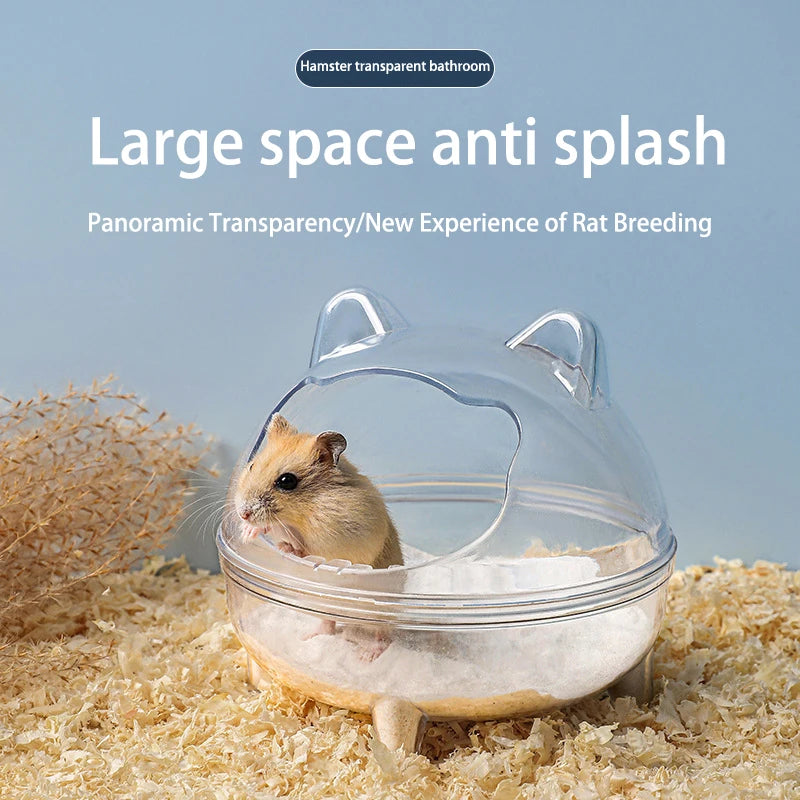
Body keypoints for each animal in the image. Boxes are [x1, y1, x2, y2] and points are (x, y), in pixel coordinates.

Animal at [234, 413, 404, 570]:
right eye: (252, 466)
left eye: (287, 481)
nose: (243, 514)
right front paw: (246, 533)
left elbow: (293, 537)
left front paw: (282, 546)